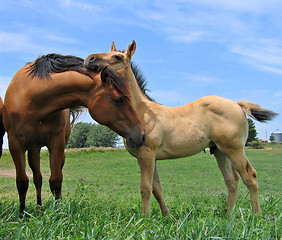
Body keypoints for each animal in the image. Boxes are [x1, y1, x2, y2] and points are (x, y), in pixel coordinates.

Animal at [3, 54, 145, 212]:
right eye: (118, 99)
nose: (142, 134)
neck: (32, 101)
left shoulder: (56, 144)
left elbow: (56, 180)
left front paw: (57, 210)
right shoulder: (15, 144)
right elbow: (22, 182)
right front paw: (22, 214)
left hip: (41, 148)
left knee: (41, 177)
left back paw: (40, 206)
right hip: (33, 147)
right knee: (37, 177)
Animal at [84, 41, 278, 218]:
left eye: (117, 57)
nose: (89, 59)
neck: (143, 111)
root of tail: (237, 104)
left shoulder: (147, 154)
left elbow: (145, 188)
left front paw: (145, 220)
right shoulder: (149, 158)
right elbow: (156, 189)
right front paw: (167, 218)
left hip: (235, 150)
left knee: (250, 176)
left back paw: (256, 217)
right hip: (220, 151)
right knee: (232, 180)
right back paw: (227, 217)